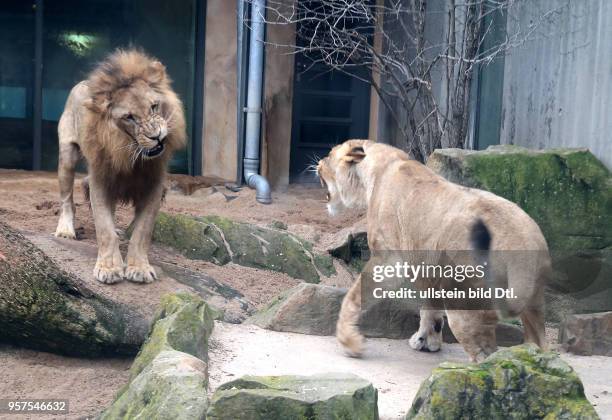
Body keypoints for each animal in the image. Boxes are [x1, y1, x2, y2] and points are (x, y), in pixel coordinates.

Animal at [53, 49, 185, 286]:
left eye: (154, 106)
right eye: (129, 117)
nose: (157, 137)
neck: (132, 153)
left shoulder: (155, 185)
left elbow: (142, 231)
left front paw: (139, 268)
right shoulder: (100, 180)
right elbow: (104, 229)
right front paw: (109, 268)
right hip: (67, 155)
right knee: (67, 199)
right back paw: (66, 230)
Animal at [318, 140, 548, 360]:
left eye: (329, 154)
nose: (318, 163)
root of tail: (521, 241)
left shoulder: (388, 258)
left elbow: (354, 296)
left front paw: (350, 343)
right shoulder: (425, 261)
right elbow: (429, 305)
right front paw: (427, 341)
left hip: (463, 300)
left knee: (485, 354)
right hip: (532, 302)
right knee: (539, 345)